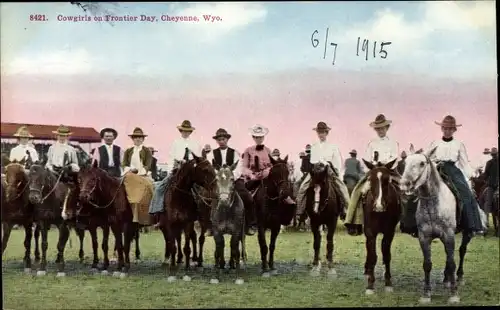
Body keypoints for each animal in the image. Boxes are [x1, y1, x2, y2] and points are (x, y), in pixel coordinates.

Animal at [159, 154, 216, 282]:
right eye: (205, 169)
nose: (215, 188)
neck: (178, 197)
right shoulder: (171, 224)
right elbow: (173, 244)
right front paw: (172, 266)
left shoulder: (187, 222)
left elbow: (186, 246)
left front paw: (187, 266)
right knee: (187, 237)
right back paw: (184, 258)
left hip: (203, 220)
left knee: (199, 239)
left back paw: (198, 260)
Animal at [362, 159, 400, 294]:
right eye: (370, 179)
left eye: (387, 180)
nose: (379, 206)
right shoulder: (370, 232)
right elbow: (373, 255)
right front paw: (370, 284)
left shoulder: (389, 232)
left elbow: (387, 255)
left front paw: (388, 282)